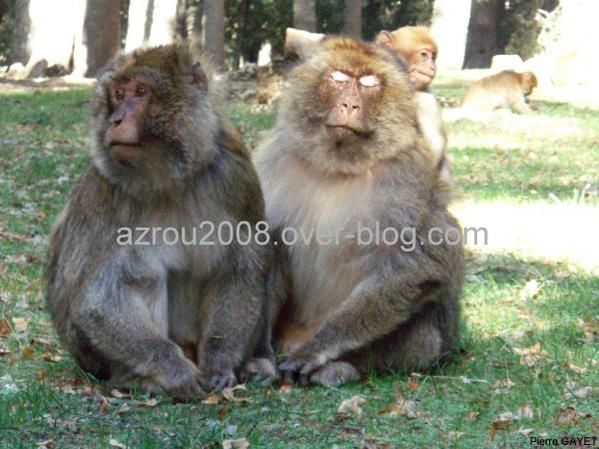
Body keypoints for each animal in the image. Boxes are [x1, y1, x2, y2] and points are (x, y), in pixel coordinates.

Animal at [45, 43, 276, 398]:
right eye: (118, 94)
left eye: (141, 92)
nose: (116, 119)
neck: (171, 178)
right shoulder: (106, 191)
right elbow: (97, 297)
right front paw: (175, 372)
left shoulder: (237, 175)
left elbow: (238, 270)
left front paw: (220, 363)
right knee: (142, 274)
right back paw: (139, 378)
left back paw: (257, 363)